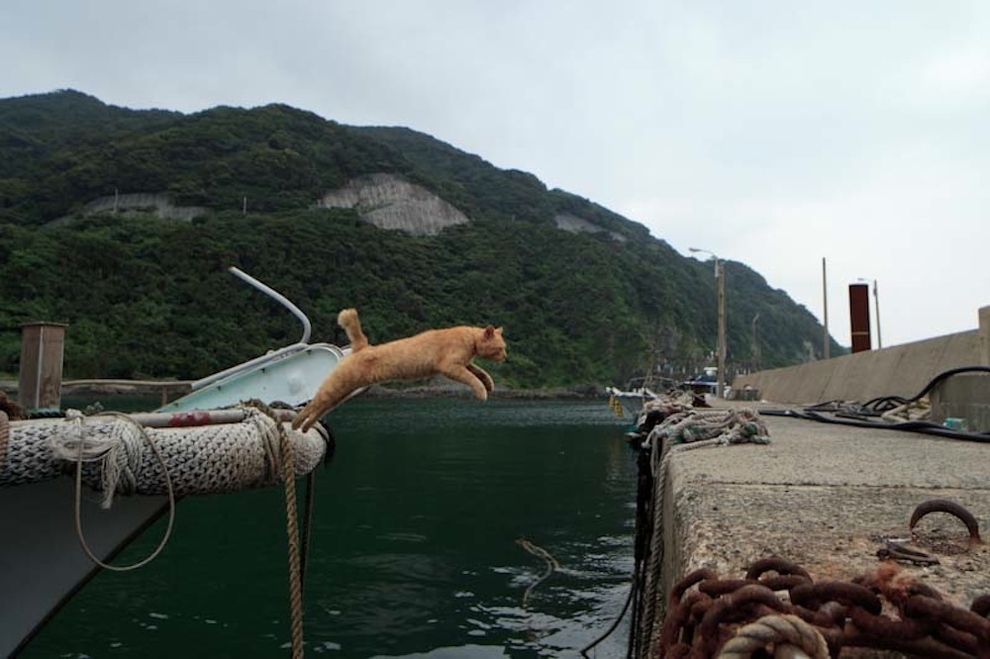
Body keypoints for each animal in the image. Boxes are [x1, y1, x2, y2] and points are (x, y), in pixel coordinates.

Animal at [290, 310, 508, 434]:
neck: (471, 339)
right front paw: (482, 391)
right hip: (336, 387)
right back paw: (295, 424)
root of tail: (362, 346)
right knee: (312, 405)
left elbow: (480, 372)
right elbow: (472, 378)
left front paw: (489, 383)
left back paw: (305, 427)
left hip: (341, 394)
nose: (505, 357)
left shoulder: (464, 364)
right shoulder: (450, 367)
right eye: (500, 348)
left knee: (320, 408)